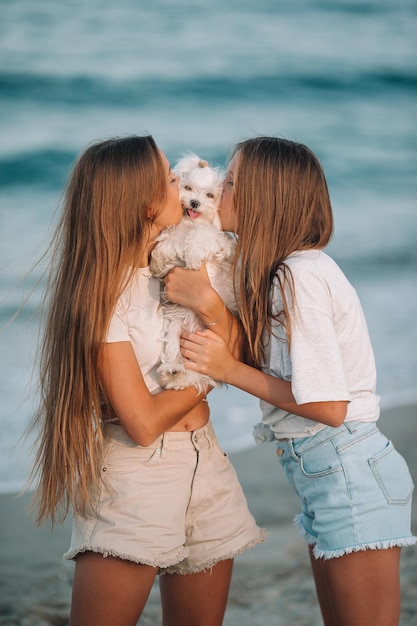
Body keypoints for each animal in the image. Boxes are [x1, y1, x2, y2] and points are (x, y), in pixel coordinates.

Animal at [150, 152, 236, 392]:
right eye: (188, 188)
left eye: (210, 195)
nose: (195, 202)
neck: (189, 224)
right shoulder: (168, 237)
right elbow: (166, 247)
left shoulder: (216, 239)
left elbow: (201, 236)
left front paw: (193, 256)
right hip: (173, 326)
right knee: (174, 355)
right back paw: (173, 371)